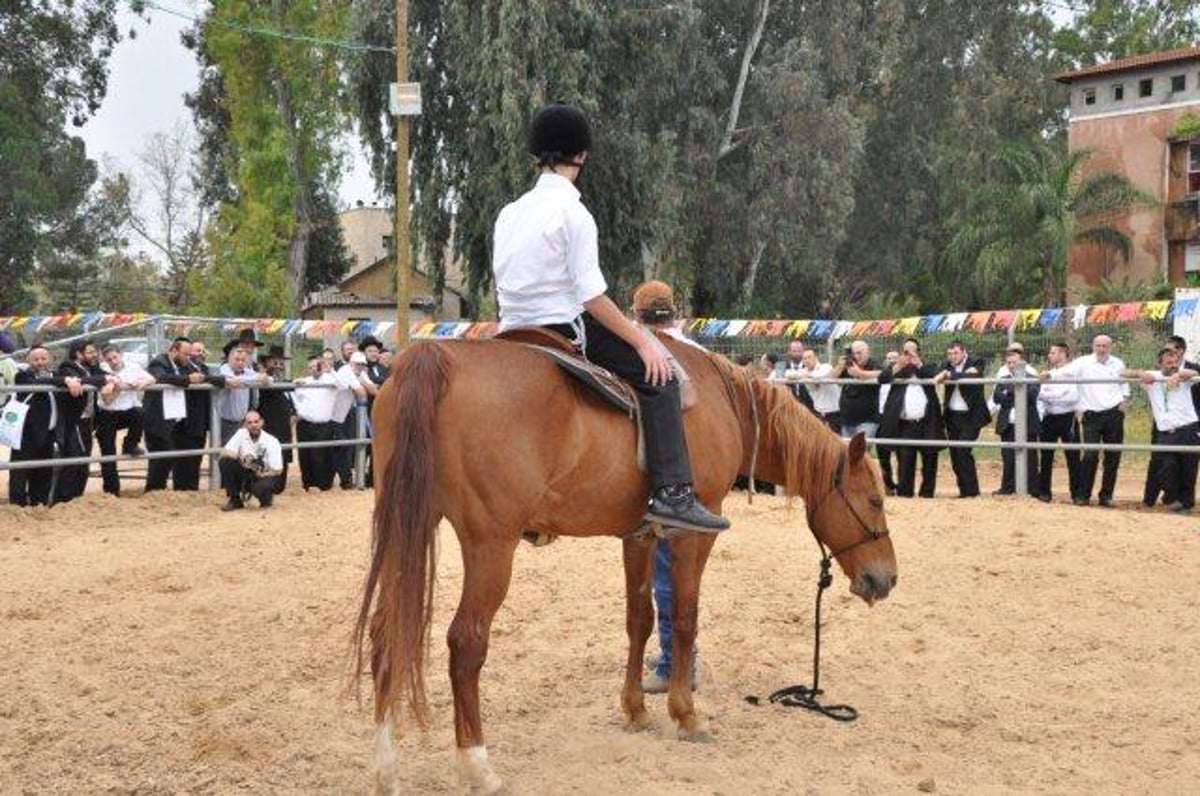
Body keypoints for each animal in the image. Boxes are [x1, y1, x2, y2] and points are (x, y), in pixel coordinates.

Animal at [355, 338, 902, 796]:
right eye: (875, 500)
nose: (887, 578)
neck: (721, 401)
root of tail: (434, 356)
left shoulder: (639, 536)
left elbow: (640, 620)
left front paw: (637, 709)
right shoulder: (693, 533)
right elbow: (684, 618)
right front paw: (686, 715)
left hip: (407, 523)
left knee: (386, 634)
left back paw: (385, 767)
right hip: (490, 545)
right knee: (466, 643)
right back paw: (477, 765)